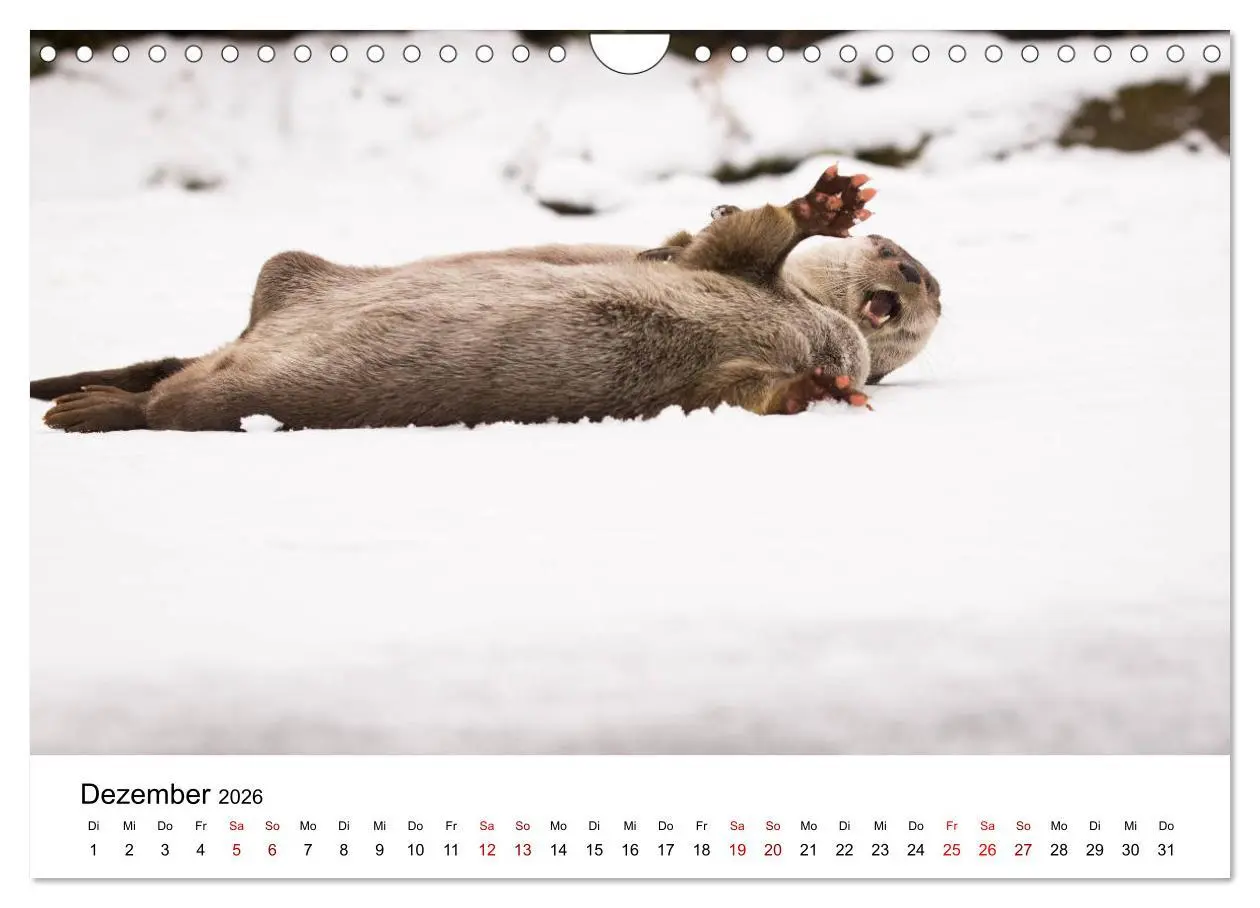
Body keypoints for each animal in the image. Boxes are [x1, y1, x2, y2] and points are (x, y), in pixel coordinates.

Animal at [31, 167, 942, 432]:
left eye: (928, 284)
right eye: (899, 257)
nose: (908, 269)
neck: (820, 323)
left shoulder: (727, 369)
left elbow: (741, 392)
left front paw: (821, 387)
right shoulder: (727, 267)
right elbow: (748, 234)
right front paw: (825, 204)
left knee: (168, 402)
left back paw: (85, 406)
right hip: (291, 275)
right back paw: (77, 401)